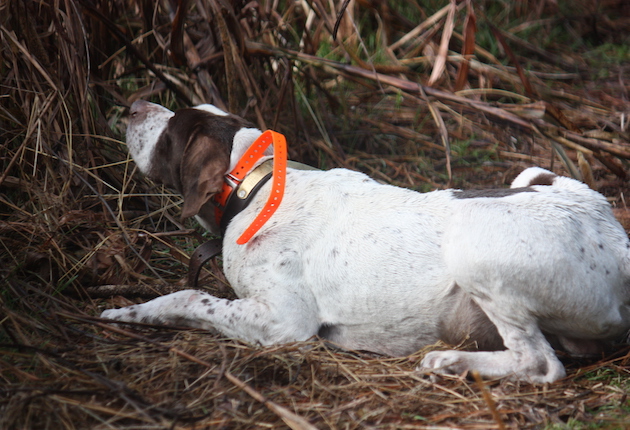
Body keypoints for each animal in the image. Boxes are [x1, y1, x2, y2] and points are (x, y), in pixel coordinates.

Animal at [103, 100, 630, 382]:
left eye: (171, 132)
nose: (132, 107)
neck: (258, 185)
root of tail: (611, 228)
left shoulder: (284, 321)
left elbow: (189, 297)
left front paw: (130, 312)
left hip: (475, 243)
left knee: (540, 362)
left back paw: (450, 359)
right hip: (534, 179)